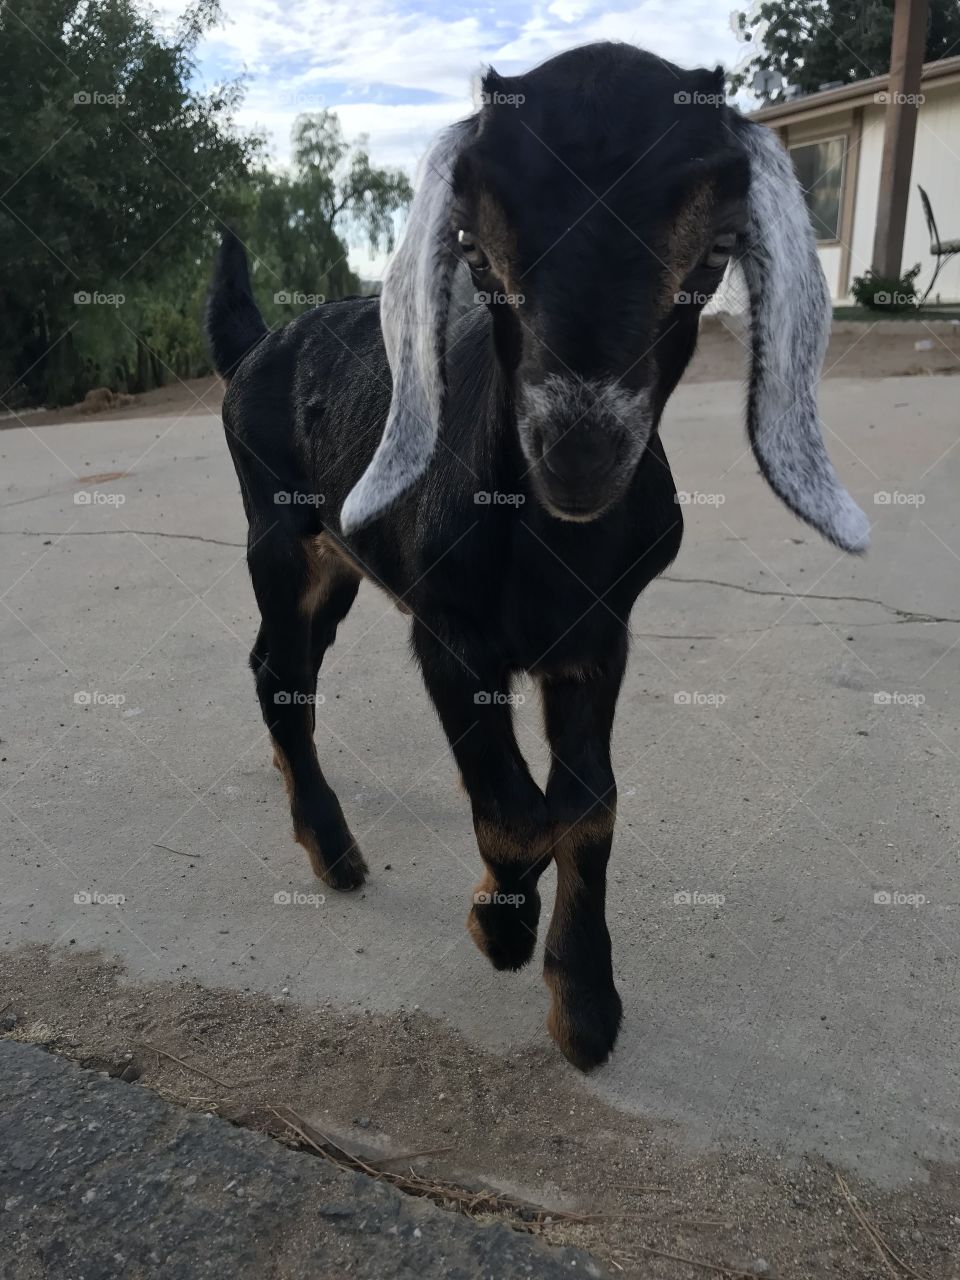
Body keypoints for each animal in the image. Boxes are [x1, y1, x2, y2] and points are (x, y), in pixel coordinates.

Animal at [206, 42, 868, 1071]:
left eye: (716, 250)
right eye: (473, 248)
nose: (579, 450)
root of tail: (254, 349)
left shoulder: (598, 639)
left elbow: (588, 804)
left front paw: (586, 1003)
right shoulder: (449, 634)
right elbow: (517, 811)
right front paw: (502, 931)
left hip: (337, 563)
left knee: (286, 665)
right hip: (279, 536)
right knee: (280, 671)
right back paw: (334, 849)